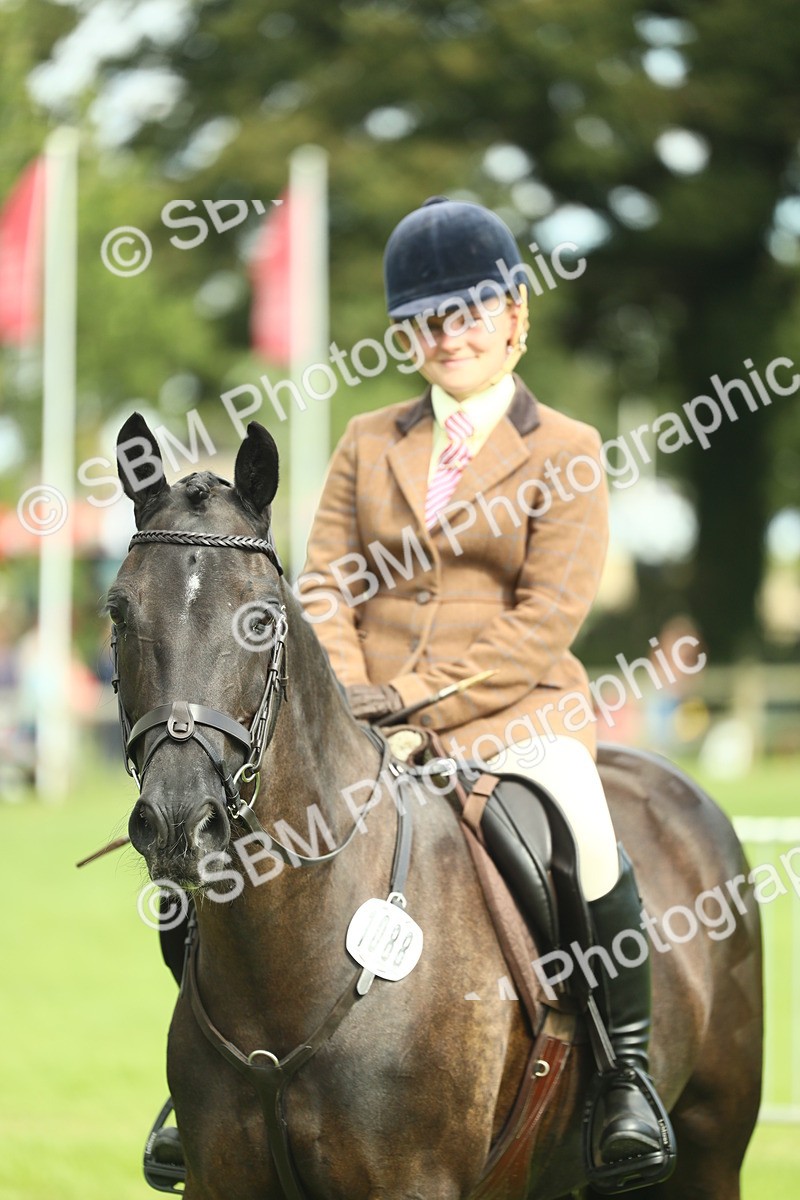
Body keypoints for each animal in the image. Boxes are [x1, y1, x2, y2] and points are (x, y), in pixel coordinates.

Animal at [109, 412, 763, 1199]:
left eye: (261, 621)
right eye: (118, 613)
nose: (179, 819)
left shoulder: (412, 1182)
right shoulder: (221, 1181)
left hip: (712, 1149)